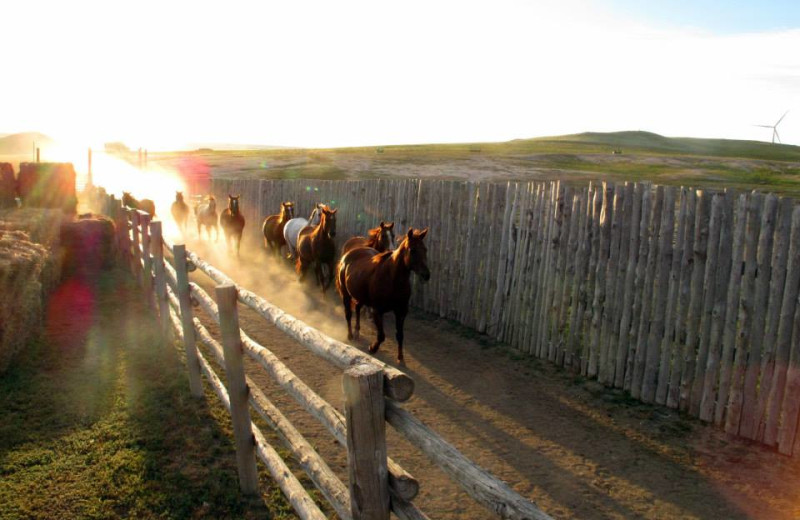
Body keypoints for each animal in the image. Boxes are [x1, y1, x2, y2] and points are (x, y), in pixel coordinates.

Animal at [334, 228, 428, 362]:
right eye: (413, 250)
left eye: (425, 249)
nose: (426, 275)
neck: (392, 278)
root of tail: (346, 256)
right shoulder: (377, 311)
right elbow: (381, 335)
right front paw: (372, 348)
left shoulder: (401, 311)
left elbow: (400, 335)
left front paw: (400, 357)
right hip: (345, 294)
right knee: (348, 314)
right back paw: (350, 335)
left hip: (360, 296)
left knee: (357, 308)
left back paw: (357, 332)